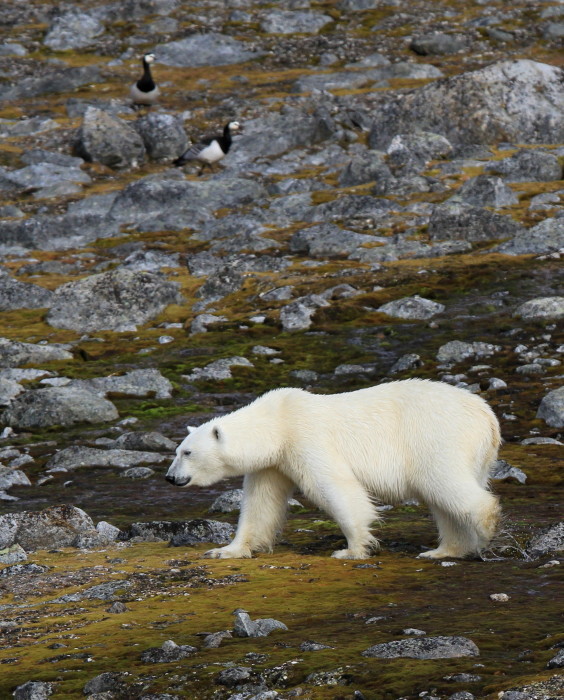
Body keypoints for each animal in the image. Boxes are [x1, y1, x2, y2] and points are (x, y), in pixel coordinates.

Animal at [165, 380, 500, 560]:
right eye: (178, 450)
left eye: (187, 452)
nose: (170, 477)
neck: (278, 422)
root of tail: (487, 416)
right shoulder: (274, 464)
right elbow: (260, 505)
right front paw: (225, 550)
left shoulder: (305, 437)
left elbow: (335, 487)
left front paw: (352, 550)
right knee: (443, 501)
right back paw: (443, 550)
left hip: (435, 436)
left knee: (444, 483)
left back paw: (486, 528)